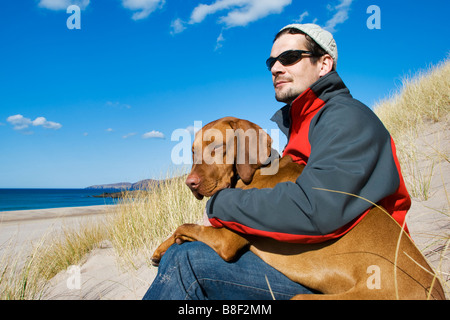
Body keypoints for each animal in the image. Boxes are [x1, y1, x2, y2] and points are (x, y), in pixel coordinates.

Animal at [152, 117, 446, 300]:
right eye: (192, 152)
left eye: (217, 146)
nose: (190, 183)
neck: (256, 172)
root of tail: (436, 290)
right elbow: (182, 228)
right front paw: (160, 250)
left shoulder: (227, 240)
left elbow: (184, 226)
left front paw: (173, 242)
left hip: (304, 297)